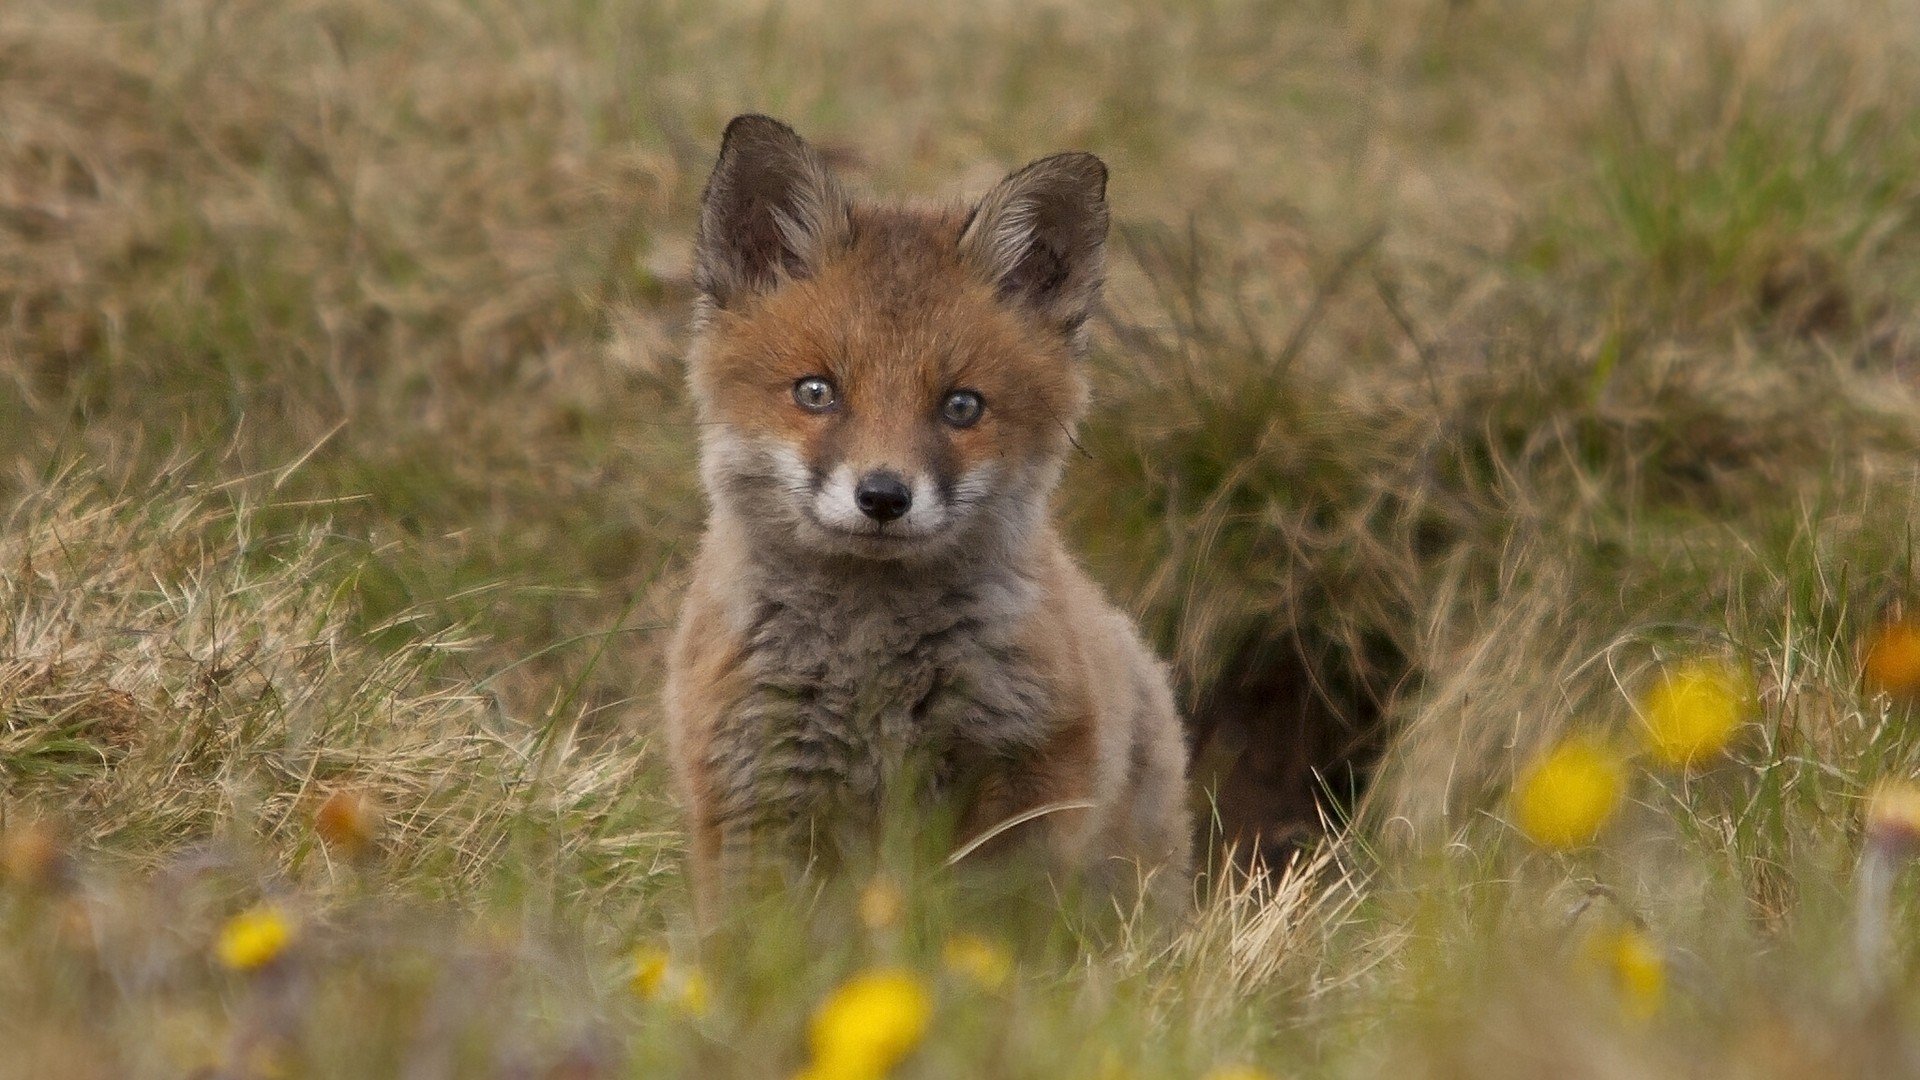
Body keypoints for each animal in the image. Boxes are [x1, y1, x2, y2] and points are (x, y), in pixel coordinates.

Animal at [664, 114, 1191, 918]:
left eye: (961, 406)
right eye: (816, 391)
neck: (869, 677)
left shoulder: (1026, 789)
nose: (883, 496)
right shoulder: (754, 793)